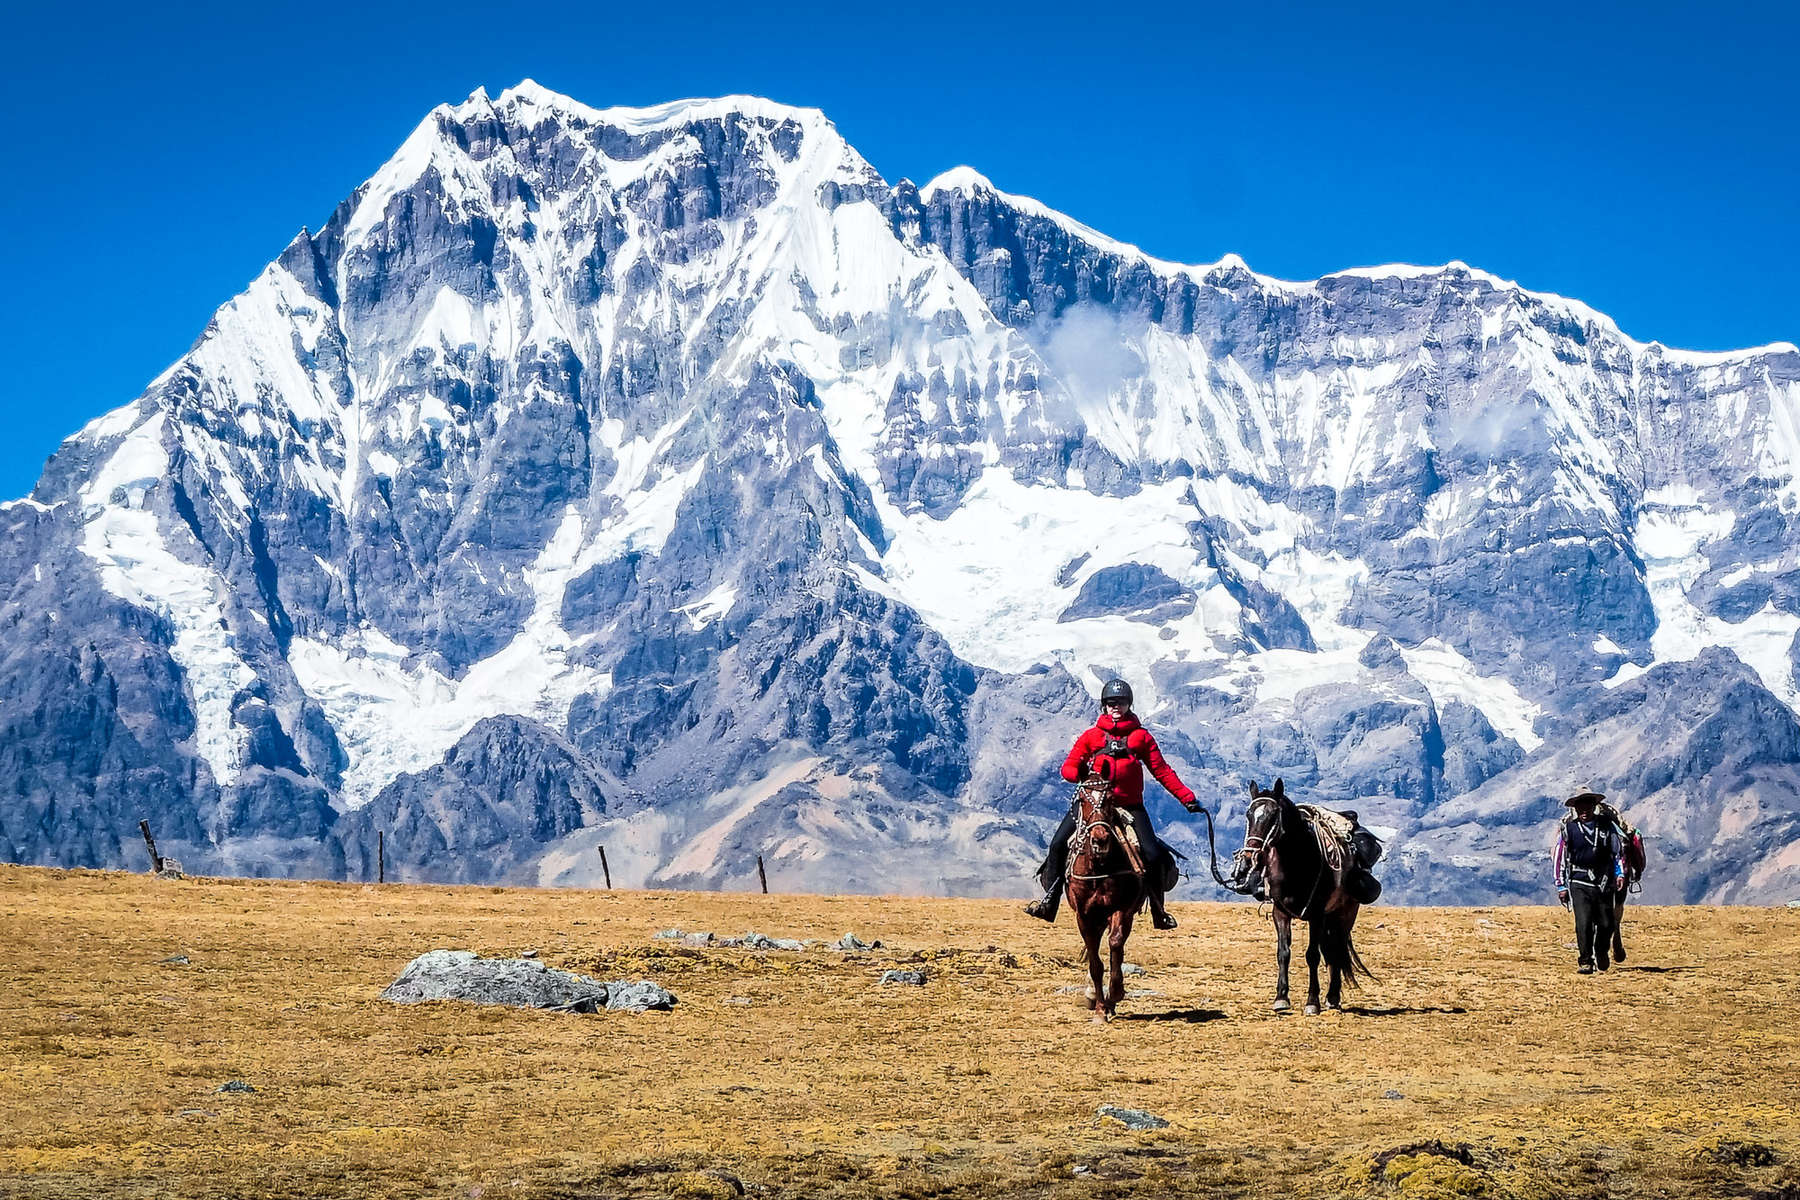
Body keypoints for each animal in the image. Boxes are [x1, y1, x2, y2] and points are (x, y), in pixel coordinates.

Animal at [1058, 780, 1144, 1021]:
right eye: (1082, 800)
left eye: (1110, 799)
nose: (1100, 840)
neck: (1099, 867)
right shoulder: (1084, 915)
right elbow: (1095, 961)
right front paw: (1099, 1008)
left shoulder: (1120, 909)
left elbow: (1115, 943)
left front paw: (1115, 994)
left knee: (1118, 947)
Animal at [1231, 780, 1368, 1014]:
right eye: (1248, 814)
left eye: (1273, 815)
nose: (1248, 860)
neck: (1297, 863)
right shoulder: (1280, 912)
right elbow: (1283, 952)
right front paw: (1281, 998)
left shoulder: (1316, 915)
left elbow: (1312, 955)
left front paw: (1312, 1002)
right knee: (1331, 950)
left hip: (1345, 913)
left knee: (1337, 949)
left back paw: (1333, 996)